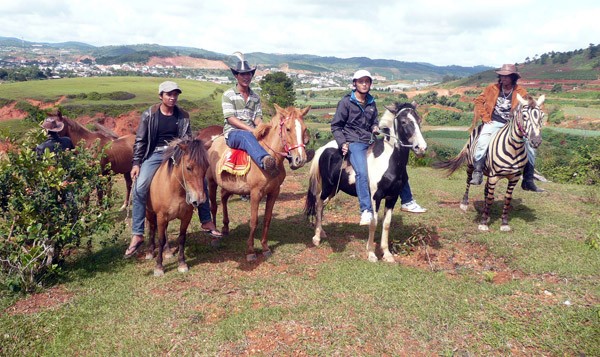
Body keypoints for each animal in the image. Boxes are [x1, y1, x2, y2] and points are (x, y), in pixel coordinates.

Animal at [146, 137, 210, 276]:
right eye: (188, 167)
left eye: (206, 166)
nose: (199, 200)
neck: (175, 189)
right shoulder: (161, 216)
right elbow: (160, 239)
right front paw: (159, 267)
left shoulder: (186, 217)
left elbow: (181, 238)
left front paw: (182, 263)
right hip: (149, 213)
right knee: (152, 229)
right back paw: (150, 252)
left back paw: (168, 251)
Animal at [205, 104, 312, 260]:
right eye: (288, 129)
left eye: (304, 129)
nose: (300, 159)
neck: (271, 158)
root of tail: (212, 143)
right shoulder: (255, 193)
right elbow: (254, 221)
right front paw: (250, 250)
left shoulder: (274, 192)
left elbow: (267, 219)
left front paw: (265, 247)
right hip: (211, 182)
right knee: (213, 207)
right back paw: (214, 238)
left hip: (229, 185)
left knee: (224, 198)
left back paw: (225, 227)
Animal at [304, 101, 426, 262]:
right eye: (404, 121)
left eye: (419, 120)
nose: (421, 148)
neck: (388, 161)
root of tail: (323, 149)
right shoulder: (375, 198)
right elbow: (373, 223)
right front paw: (371, 253)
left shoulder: (392, 198)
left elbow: (386, 224)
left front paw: (387, 254)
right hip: (327, 186)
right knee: (318, 203)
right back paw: (317, 238)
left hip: (334, 189)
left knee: (322, 205)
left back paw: (322, 232)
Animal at [434, 92, 548, 231]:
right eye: (524, 116)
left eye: (542, 116)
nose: (536, 141)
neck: (514, 149)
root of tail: (480, 126)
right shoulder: (494, 176)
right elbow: (490, 198)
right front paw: (483, 223)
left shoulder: (514, 178)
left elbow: (506, 199)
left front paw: (504, 223)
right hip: (471, 166)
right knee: (469, 182)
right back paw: (465, 204)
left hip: (488, 173)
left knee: (486, 190)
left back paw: (486, 213)